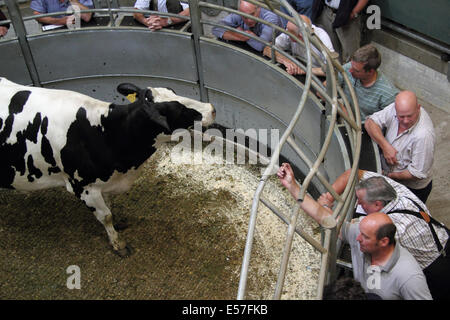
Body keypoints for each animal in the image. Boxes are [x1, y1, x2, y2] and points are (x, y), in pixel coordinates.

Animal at [0, 78, 214, 258]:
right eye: (176, 109)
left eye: (173, 90)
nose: (211, 108)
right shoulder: (83, 187)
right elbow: (106, 216)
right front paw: (118, 244)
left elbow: (110, 208)